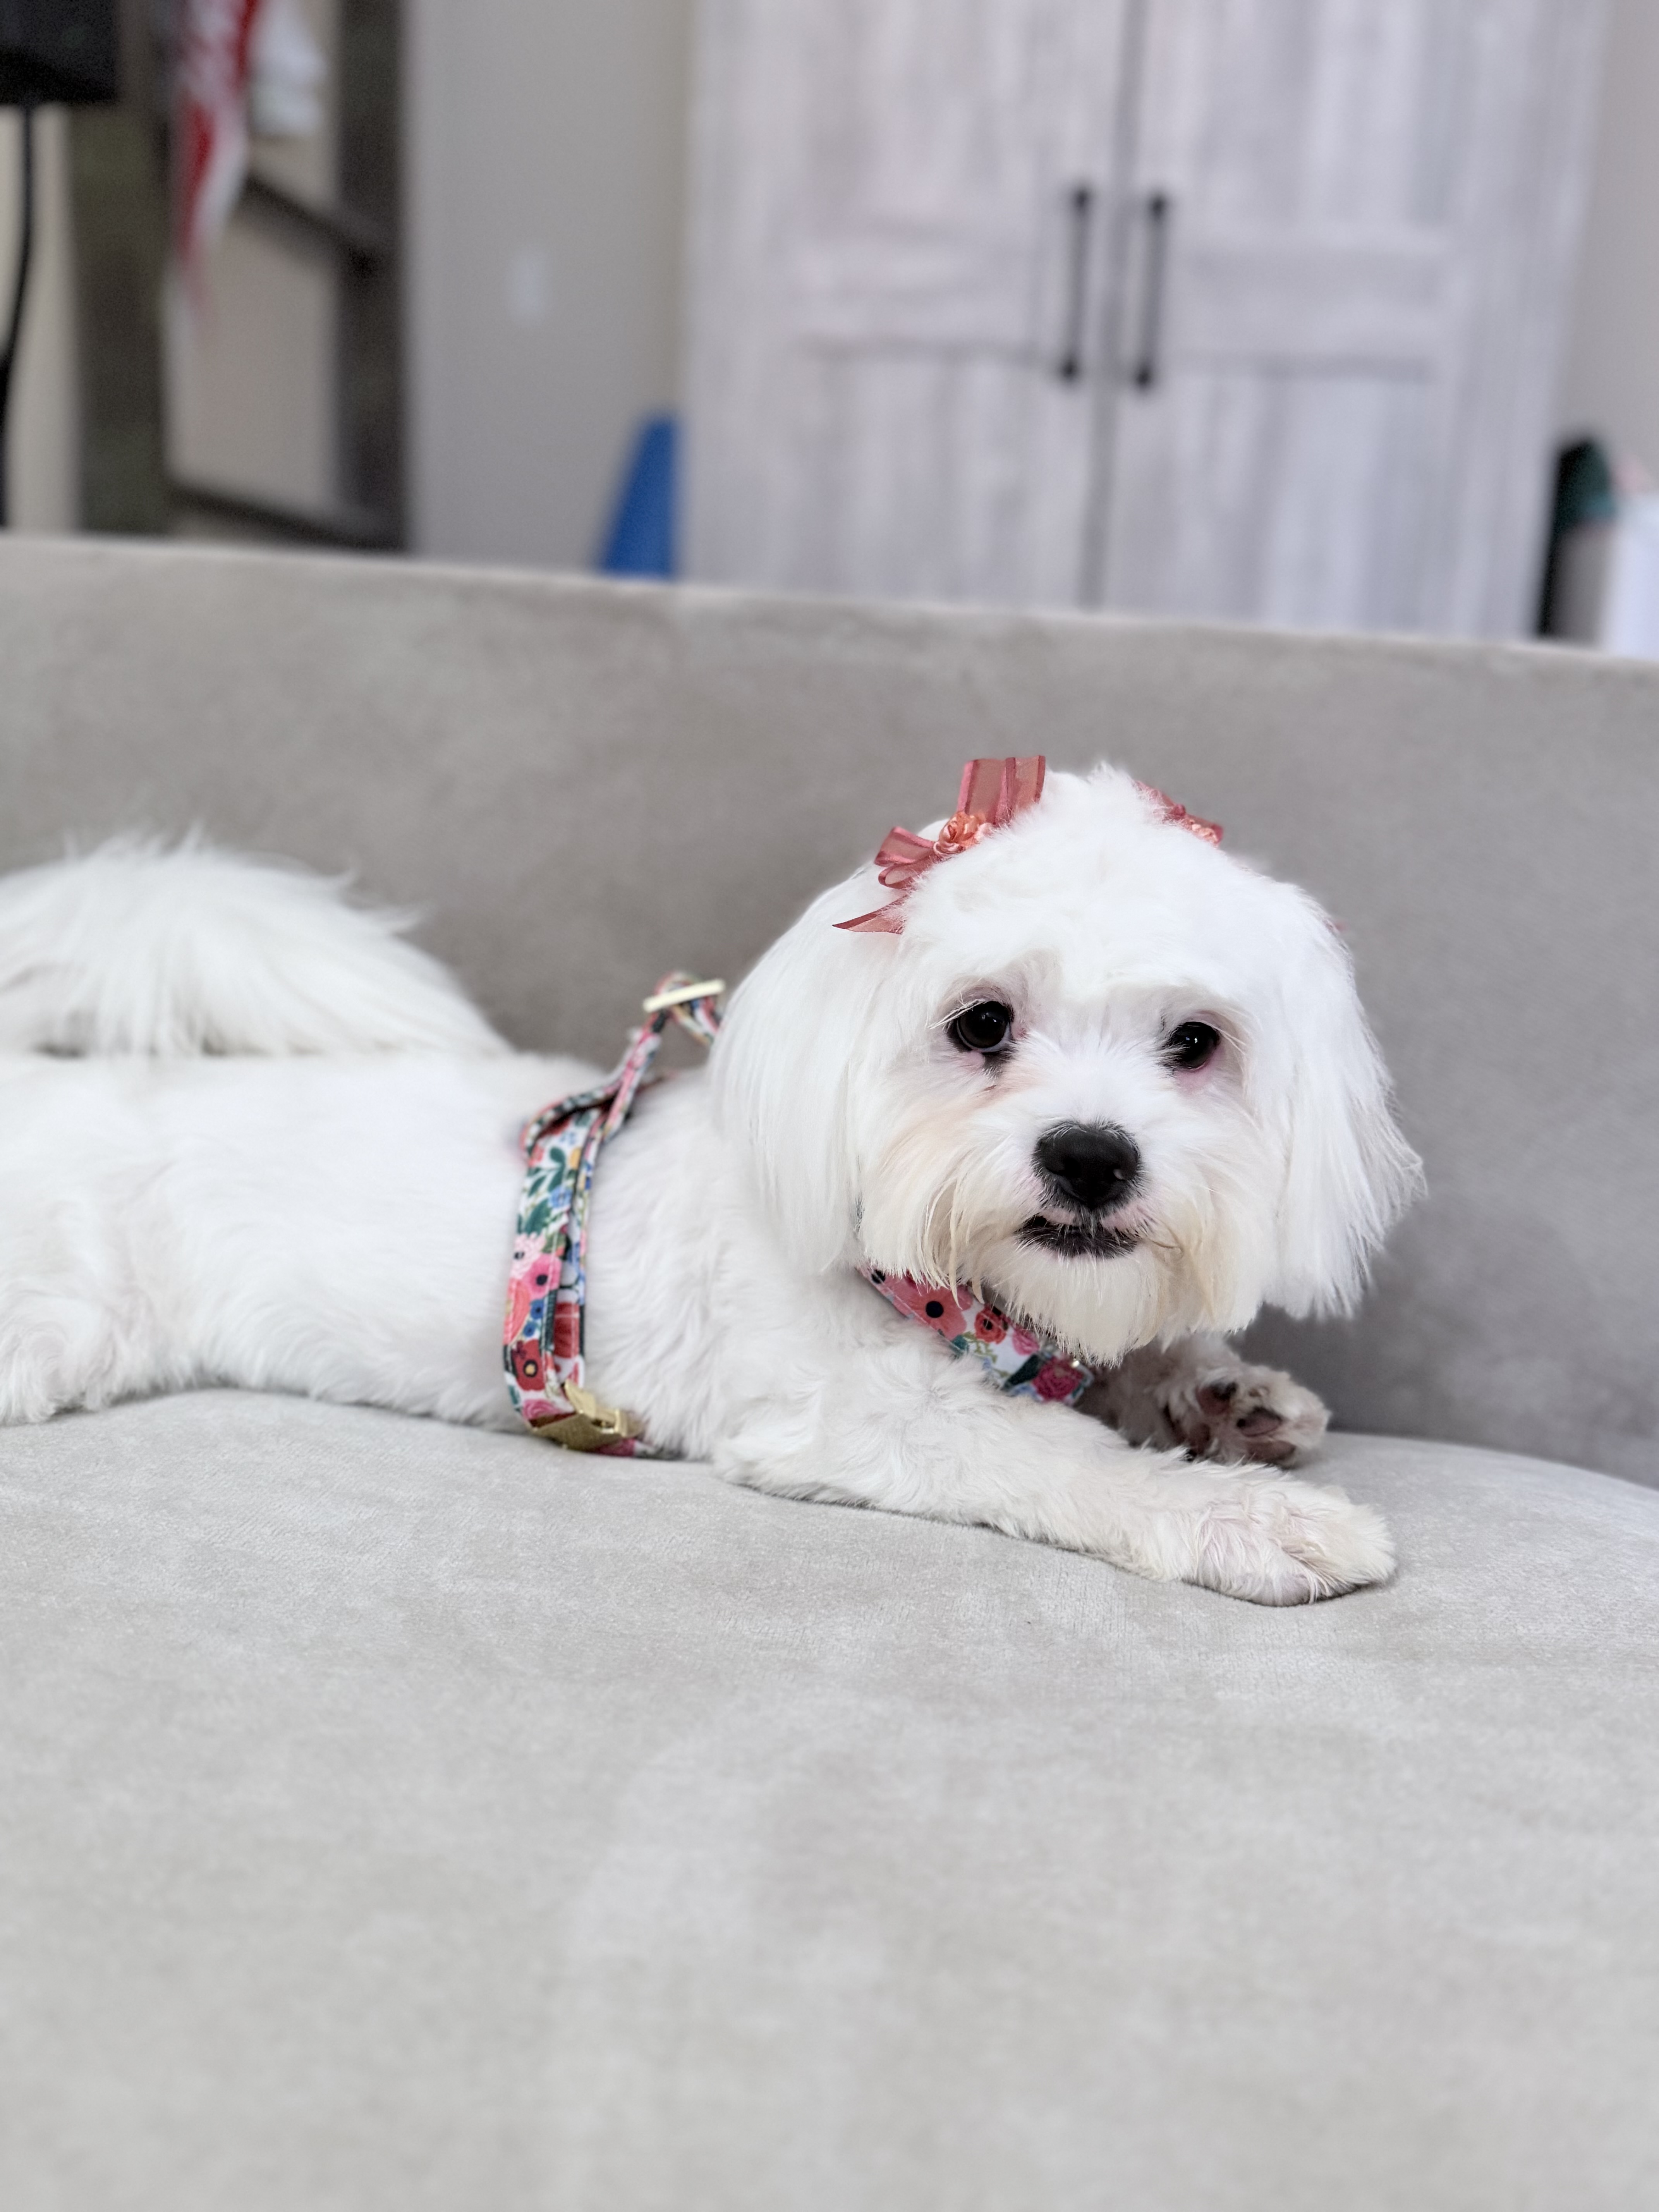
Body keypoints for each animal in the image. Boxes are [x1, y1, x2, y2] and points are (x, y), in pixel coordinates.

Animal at [0, 764, 1420, 1604]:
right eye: (980, 1024)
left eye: (1195, 1042)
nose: (1089, 1154)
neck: (948, 1289)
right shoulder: (857, 1422)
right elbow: (1062, 1459)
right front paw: (1247, 1517)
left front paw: (1224, 1394)